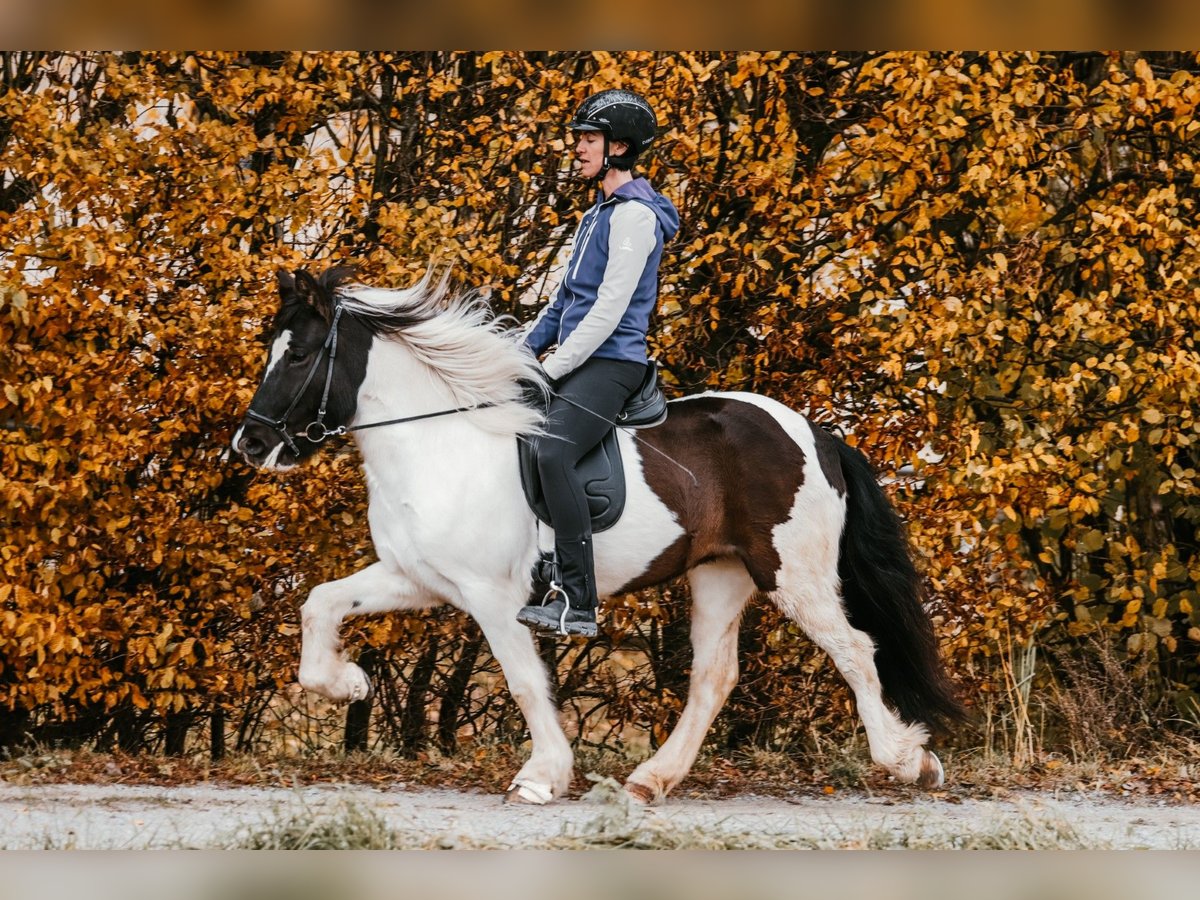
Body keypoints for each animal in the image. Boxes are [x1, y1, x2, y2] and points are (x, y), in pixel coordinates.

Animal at [232, 266, 963, 805]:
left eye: (299, 355)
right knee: (714, 677)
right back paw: (650, 781)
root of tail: (817, 434)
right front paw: (349, 684)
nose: (251, 444)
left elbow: (525, 682)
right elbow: (320, 602)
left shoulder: (492, 596)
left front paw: (542, 776)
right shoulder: (419, 578)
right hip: (720, 573)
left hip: (793, 574)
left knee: (856, 651)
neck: (441, 440)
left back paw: (910, 762)